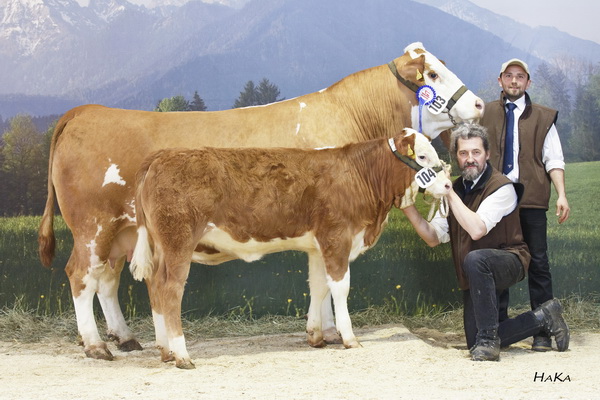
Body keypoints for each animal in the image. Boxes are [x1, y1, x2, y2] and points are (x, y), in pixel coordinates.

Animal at [130, 129, 450, 368]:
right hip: (178, 242)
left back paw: (165, 351)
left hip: (160, 247)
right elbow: (341, 288)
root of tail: (162, 156)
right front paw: (349, 338)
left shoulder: (318, 245)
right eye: (422, 156)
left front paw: (315, 336)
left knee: (154, 285)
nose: (448, 185)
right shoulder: (337, 237)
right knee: (170, 289)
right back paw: (182, 355)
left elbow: (318, 287)